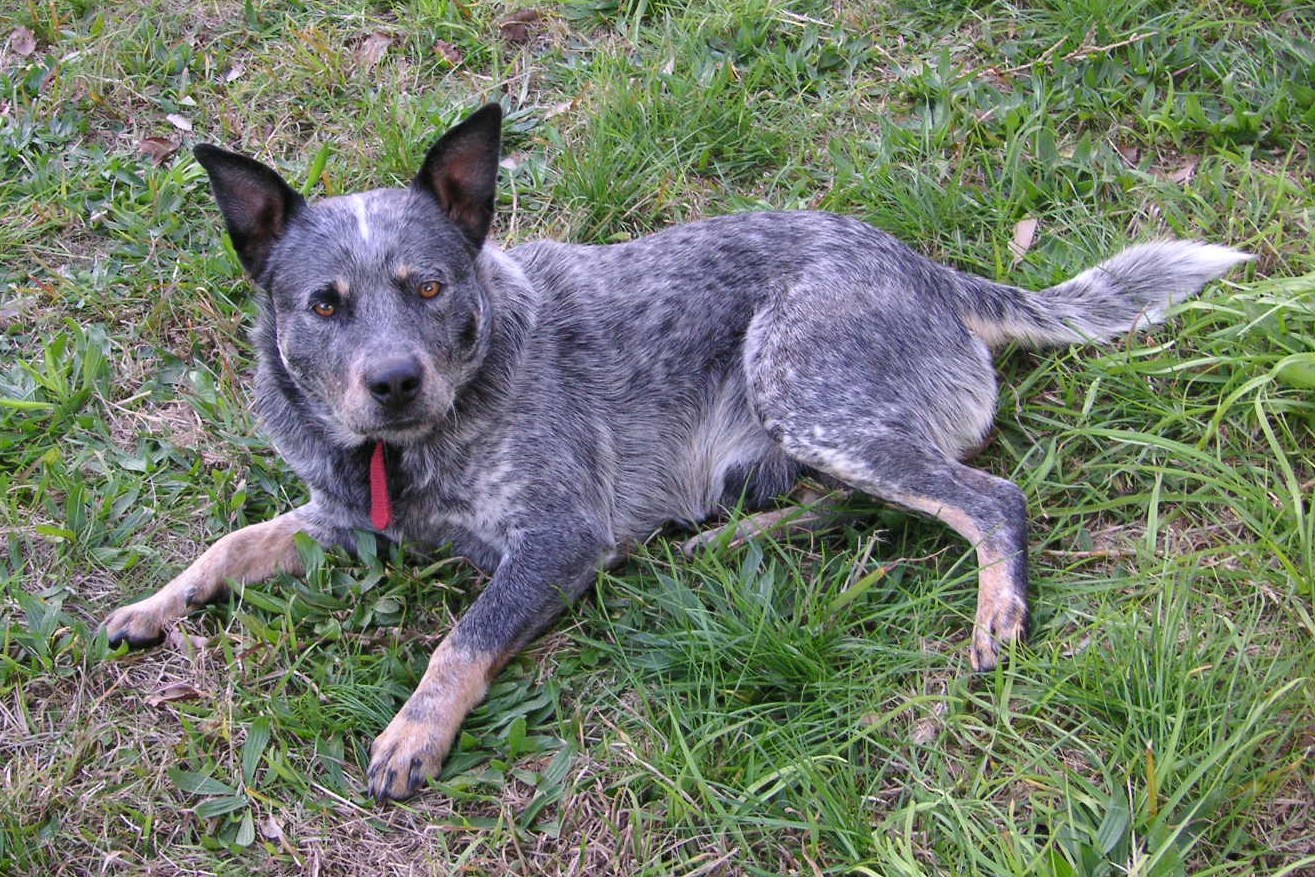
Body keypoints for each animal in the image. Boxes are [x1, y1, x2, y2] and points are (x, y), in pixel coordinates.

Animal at [99, 103, 1241, 804]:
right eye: (325, 304)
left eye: (428, 286)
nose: (392, 381)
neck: (414, 448)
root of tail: (931, 270)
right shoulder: (341, 519)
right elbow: (228, 545)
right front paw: (149, 606)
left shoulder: (558, 538)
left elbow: (461, 640)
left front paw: (413, 734)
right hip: (805, 429)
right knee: (868, 500)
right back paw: (723, 542)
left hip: (799, 382)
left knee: (987, 496)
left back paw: (995, 615)